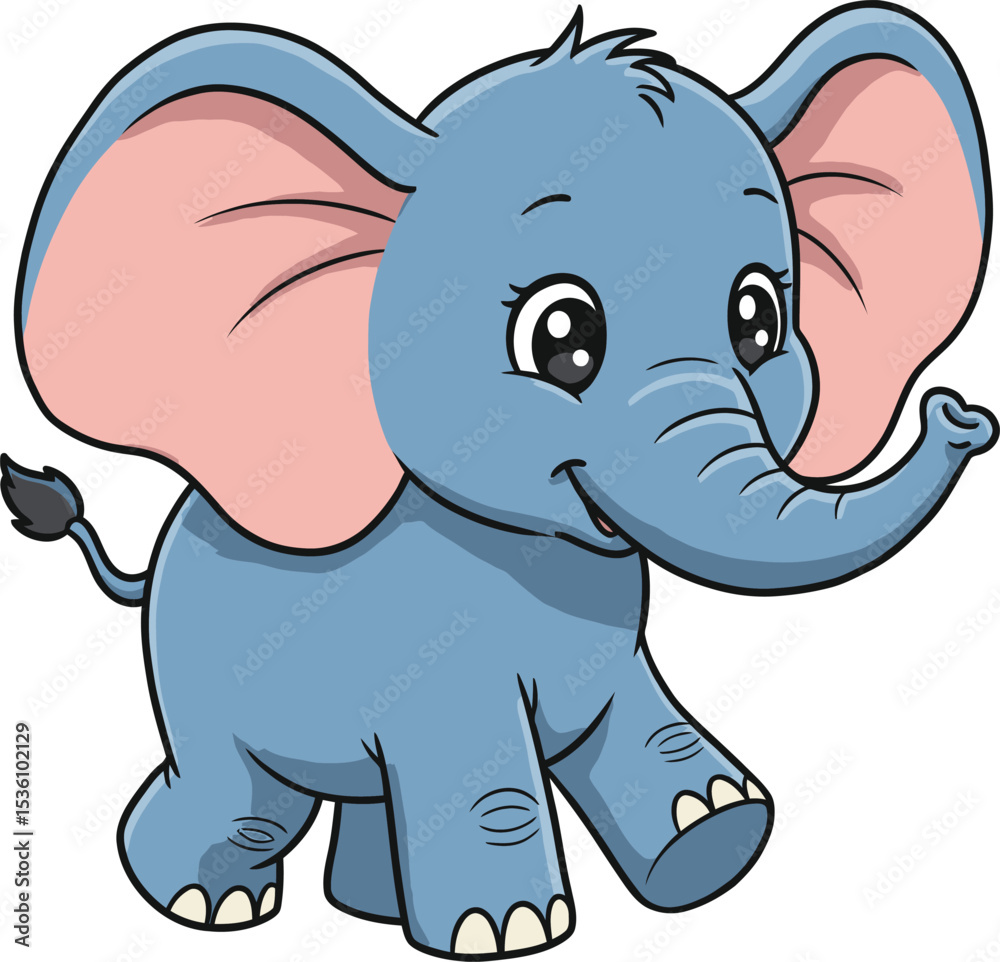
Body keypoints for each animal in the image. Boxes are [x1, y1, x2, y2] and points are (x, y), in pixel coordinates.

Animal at [3, 2, 995, 957]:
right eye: (563, 337)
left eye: (758, 319)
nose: (961, 415)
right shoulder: (434, 656)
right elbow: (482, 770)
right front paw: (509, 930)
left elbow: (634, 727)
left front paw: (711, 834)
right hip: (198, 685)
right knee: (245, 799)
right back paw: (208, 903)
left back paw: (367, 911)